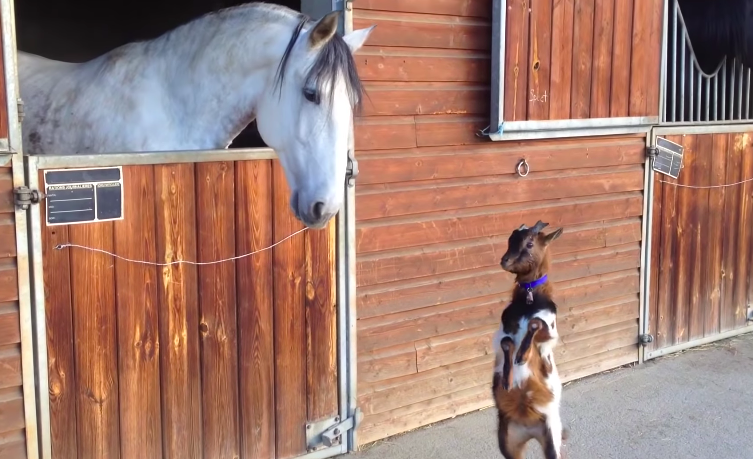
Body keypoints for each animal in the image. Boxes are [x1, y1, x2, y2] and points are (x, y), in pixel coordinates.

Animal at [490, 221, 560, 459]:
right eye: (510, 240)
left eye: (530, 243)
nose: (504, 260)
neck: (529, 302)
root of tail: (528, 427)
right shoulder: (501, 332)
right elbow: (507, 343)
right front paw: (507, 379)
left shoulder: (550, 331)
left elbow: (535, 324)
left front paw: (522, 356)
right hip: (509, 441)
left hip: (552, 437)